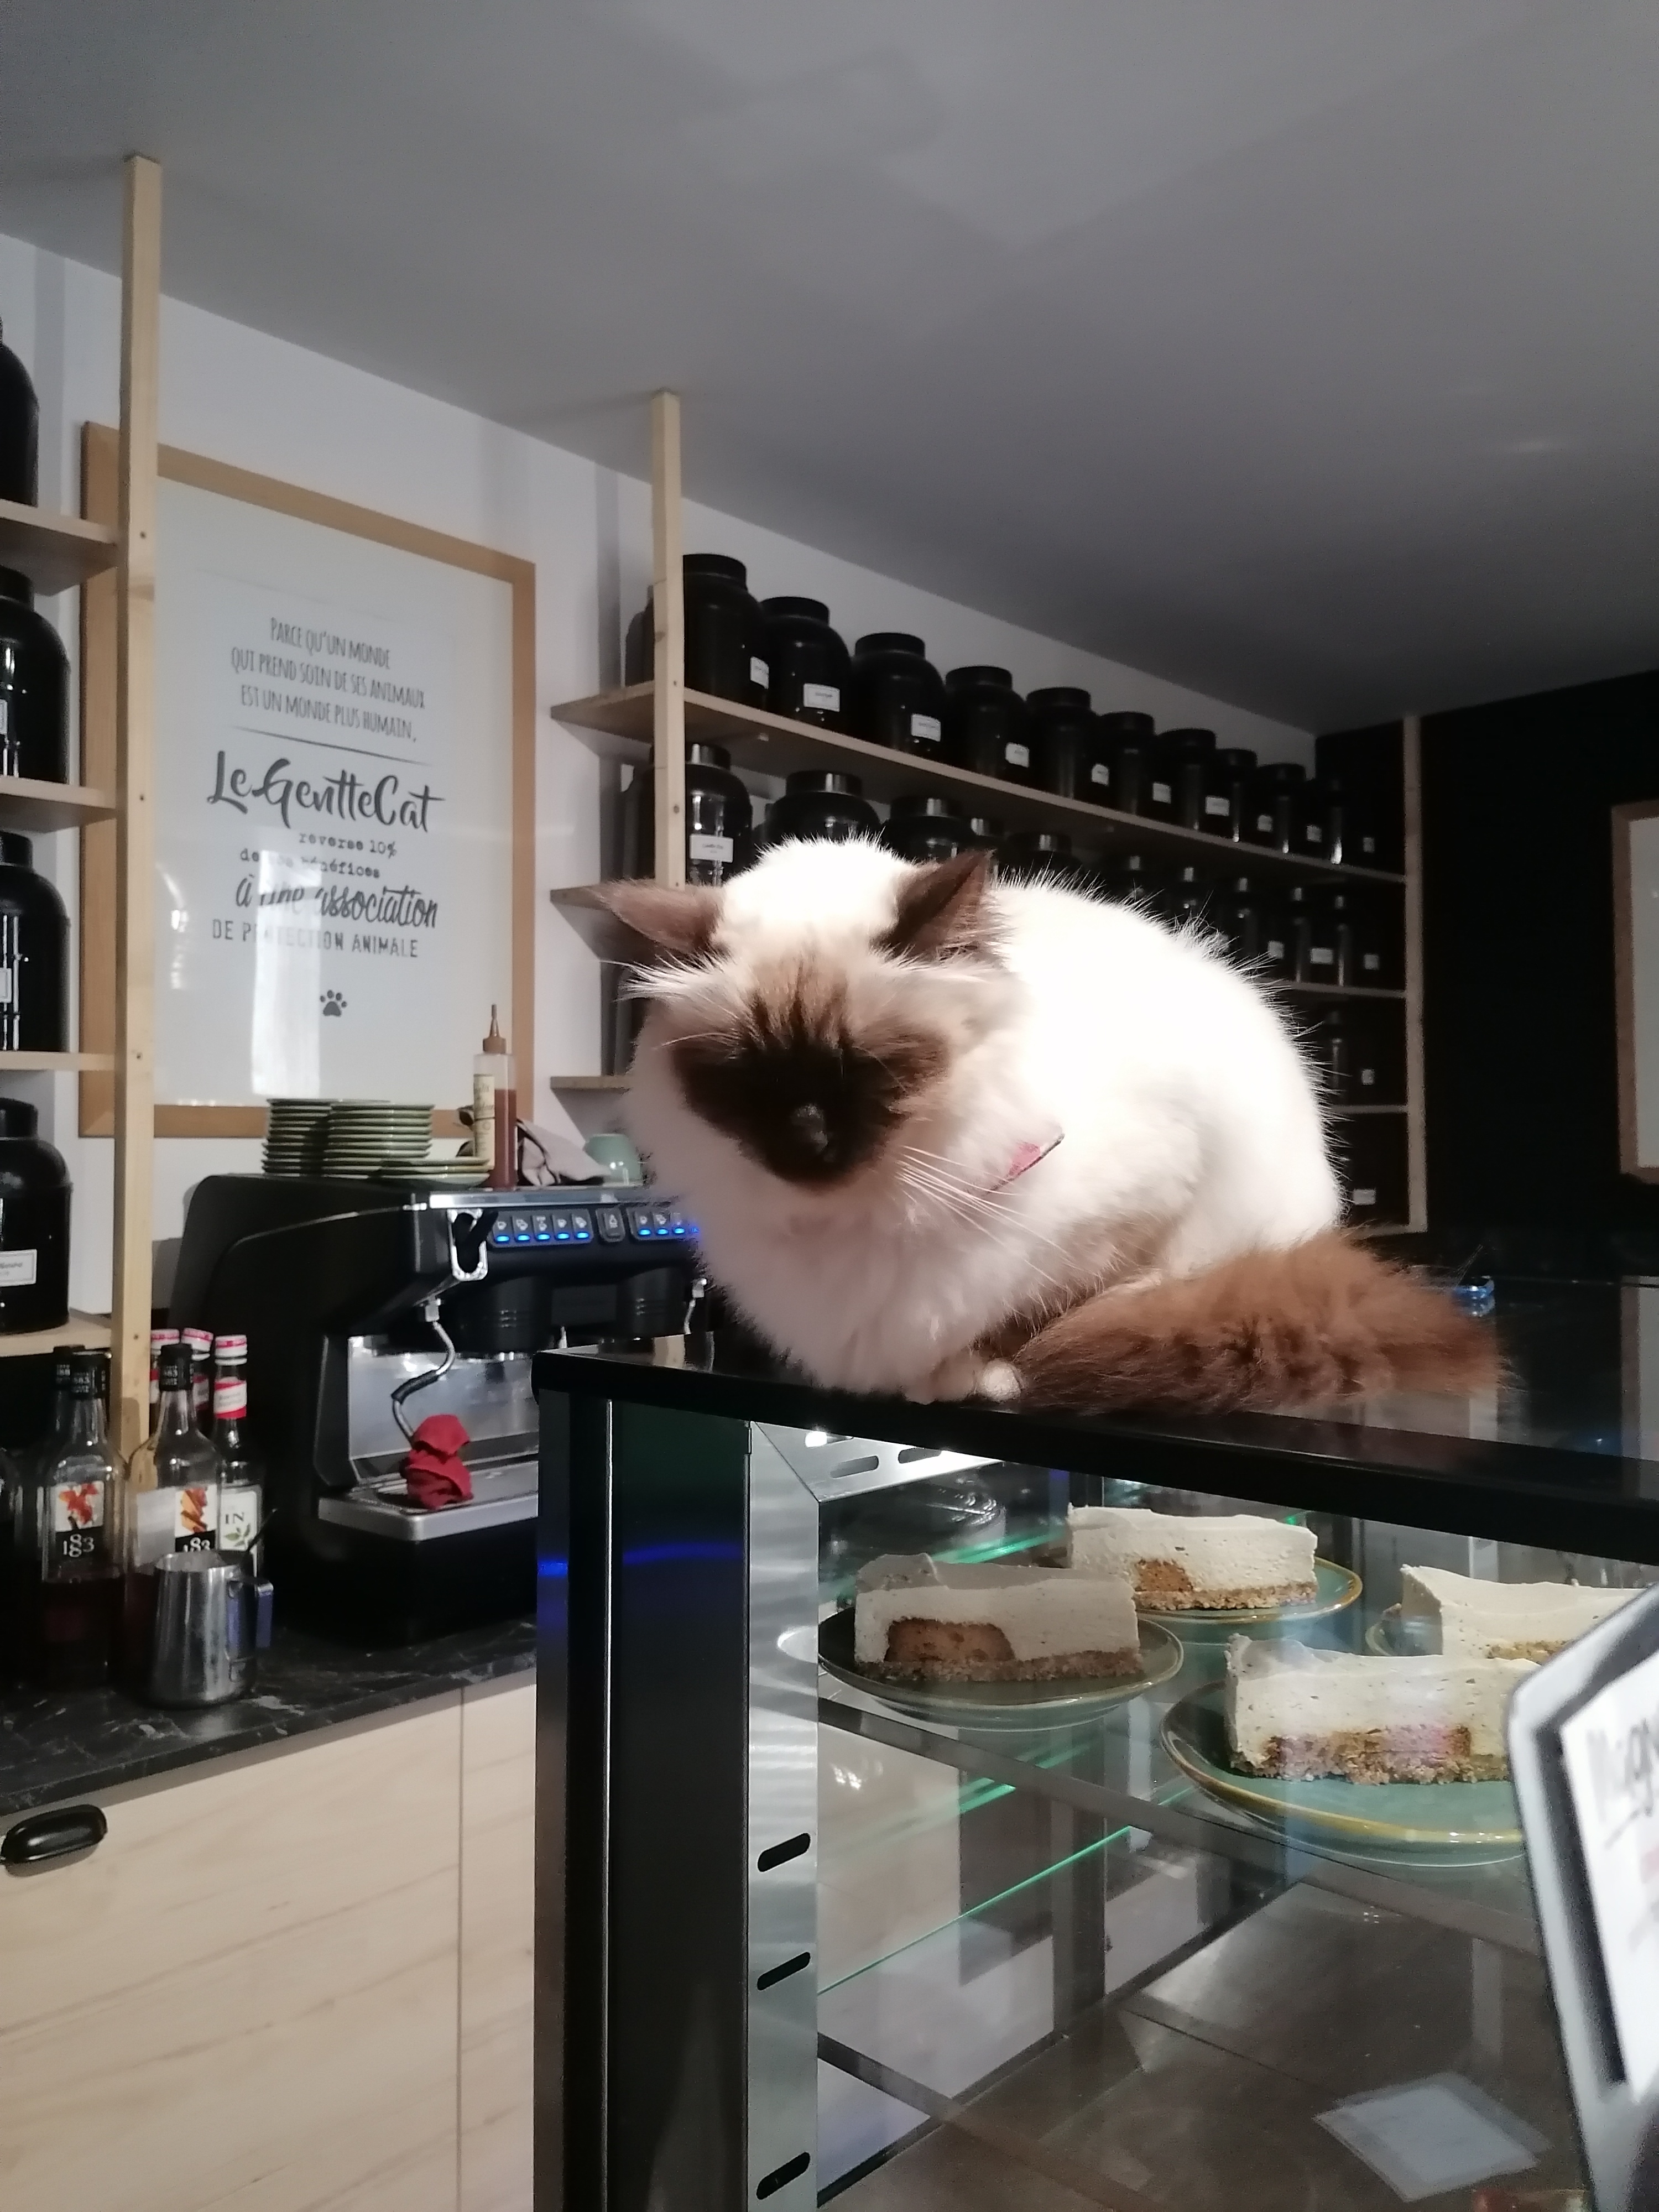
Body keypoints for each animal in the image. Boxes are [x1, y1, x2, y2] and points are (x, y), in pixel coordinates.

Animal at [601, 840, 1495, 1412]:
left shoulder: (1142, 1208)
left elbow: (1042, 1313)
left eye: (871, 1071)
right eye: (749, 1079)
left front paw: (984, 1373)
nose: (808, 1142)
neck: (862, 1213)